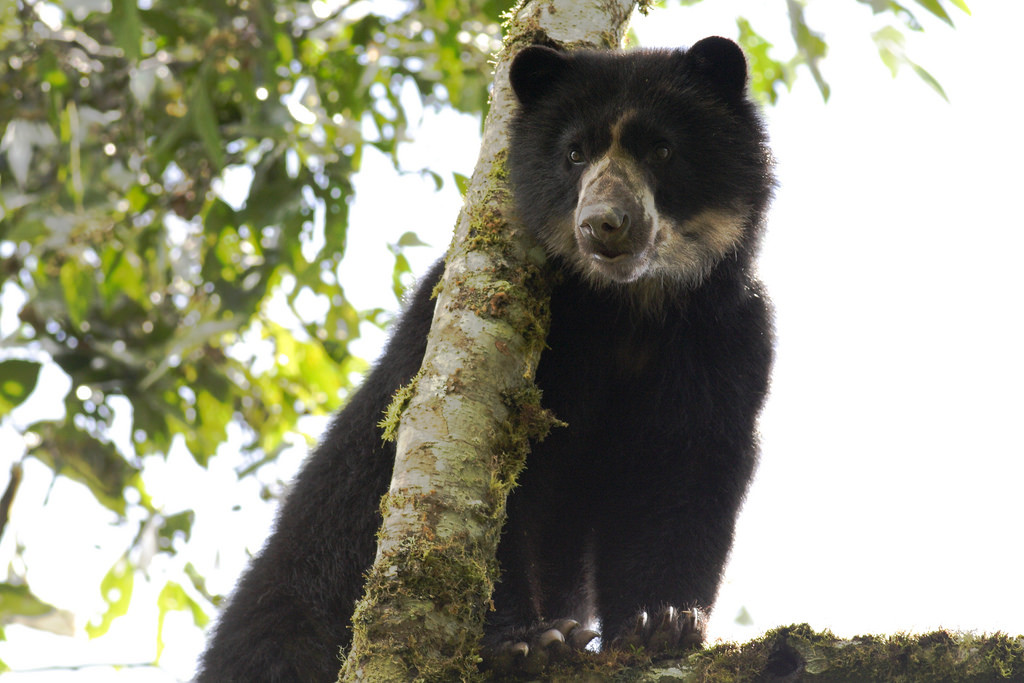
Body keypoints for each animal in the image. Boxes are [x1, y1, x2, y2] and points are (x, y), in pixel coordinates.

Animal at [195, 37, 770, 683]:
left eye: (663, 149)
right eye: (574, 154)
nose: (604, 225)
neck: (626, 308)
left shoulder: (725, 336)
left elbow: (685, 468)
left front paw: (661, 622)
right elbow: (493, 498)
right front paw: (529, 641)